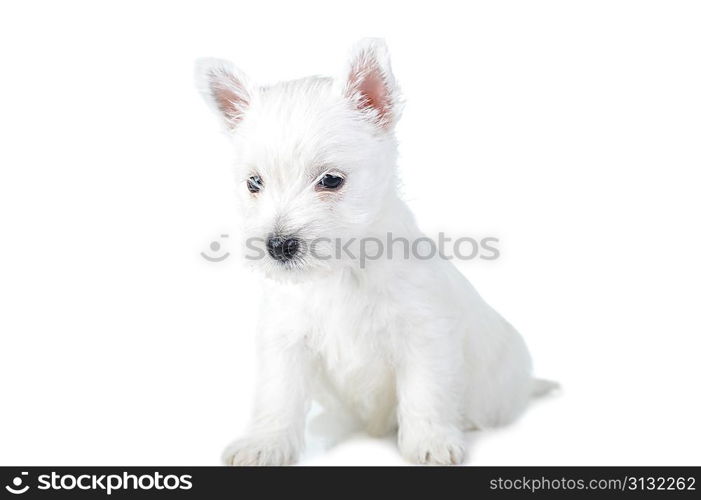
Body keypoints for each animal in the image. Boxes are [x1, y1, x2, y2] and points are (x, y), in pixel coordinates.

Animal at [196, 38, 552, 464]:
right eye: (254, 183)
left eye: (331, 180)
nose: (278, 245)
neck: (341, 271)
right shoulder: (286, 341)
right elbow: (278, 395)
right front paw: (265, 443)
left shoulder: (424, 335)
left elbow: (424, 393)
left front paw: (430, 441)